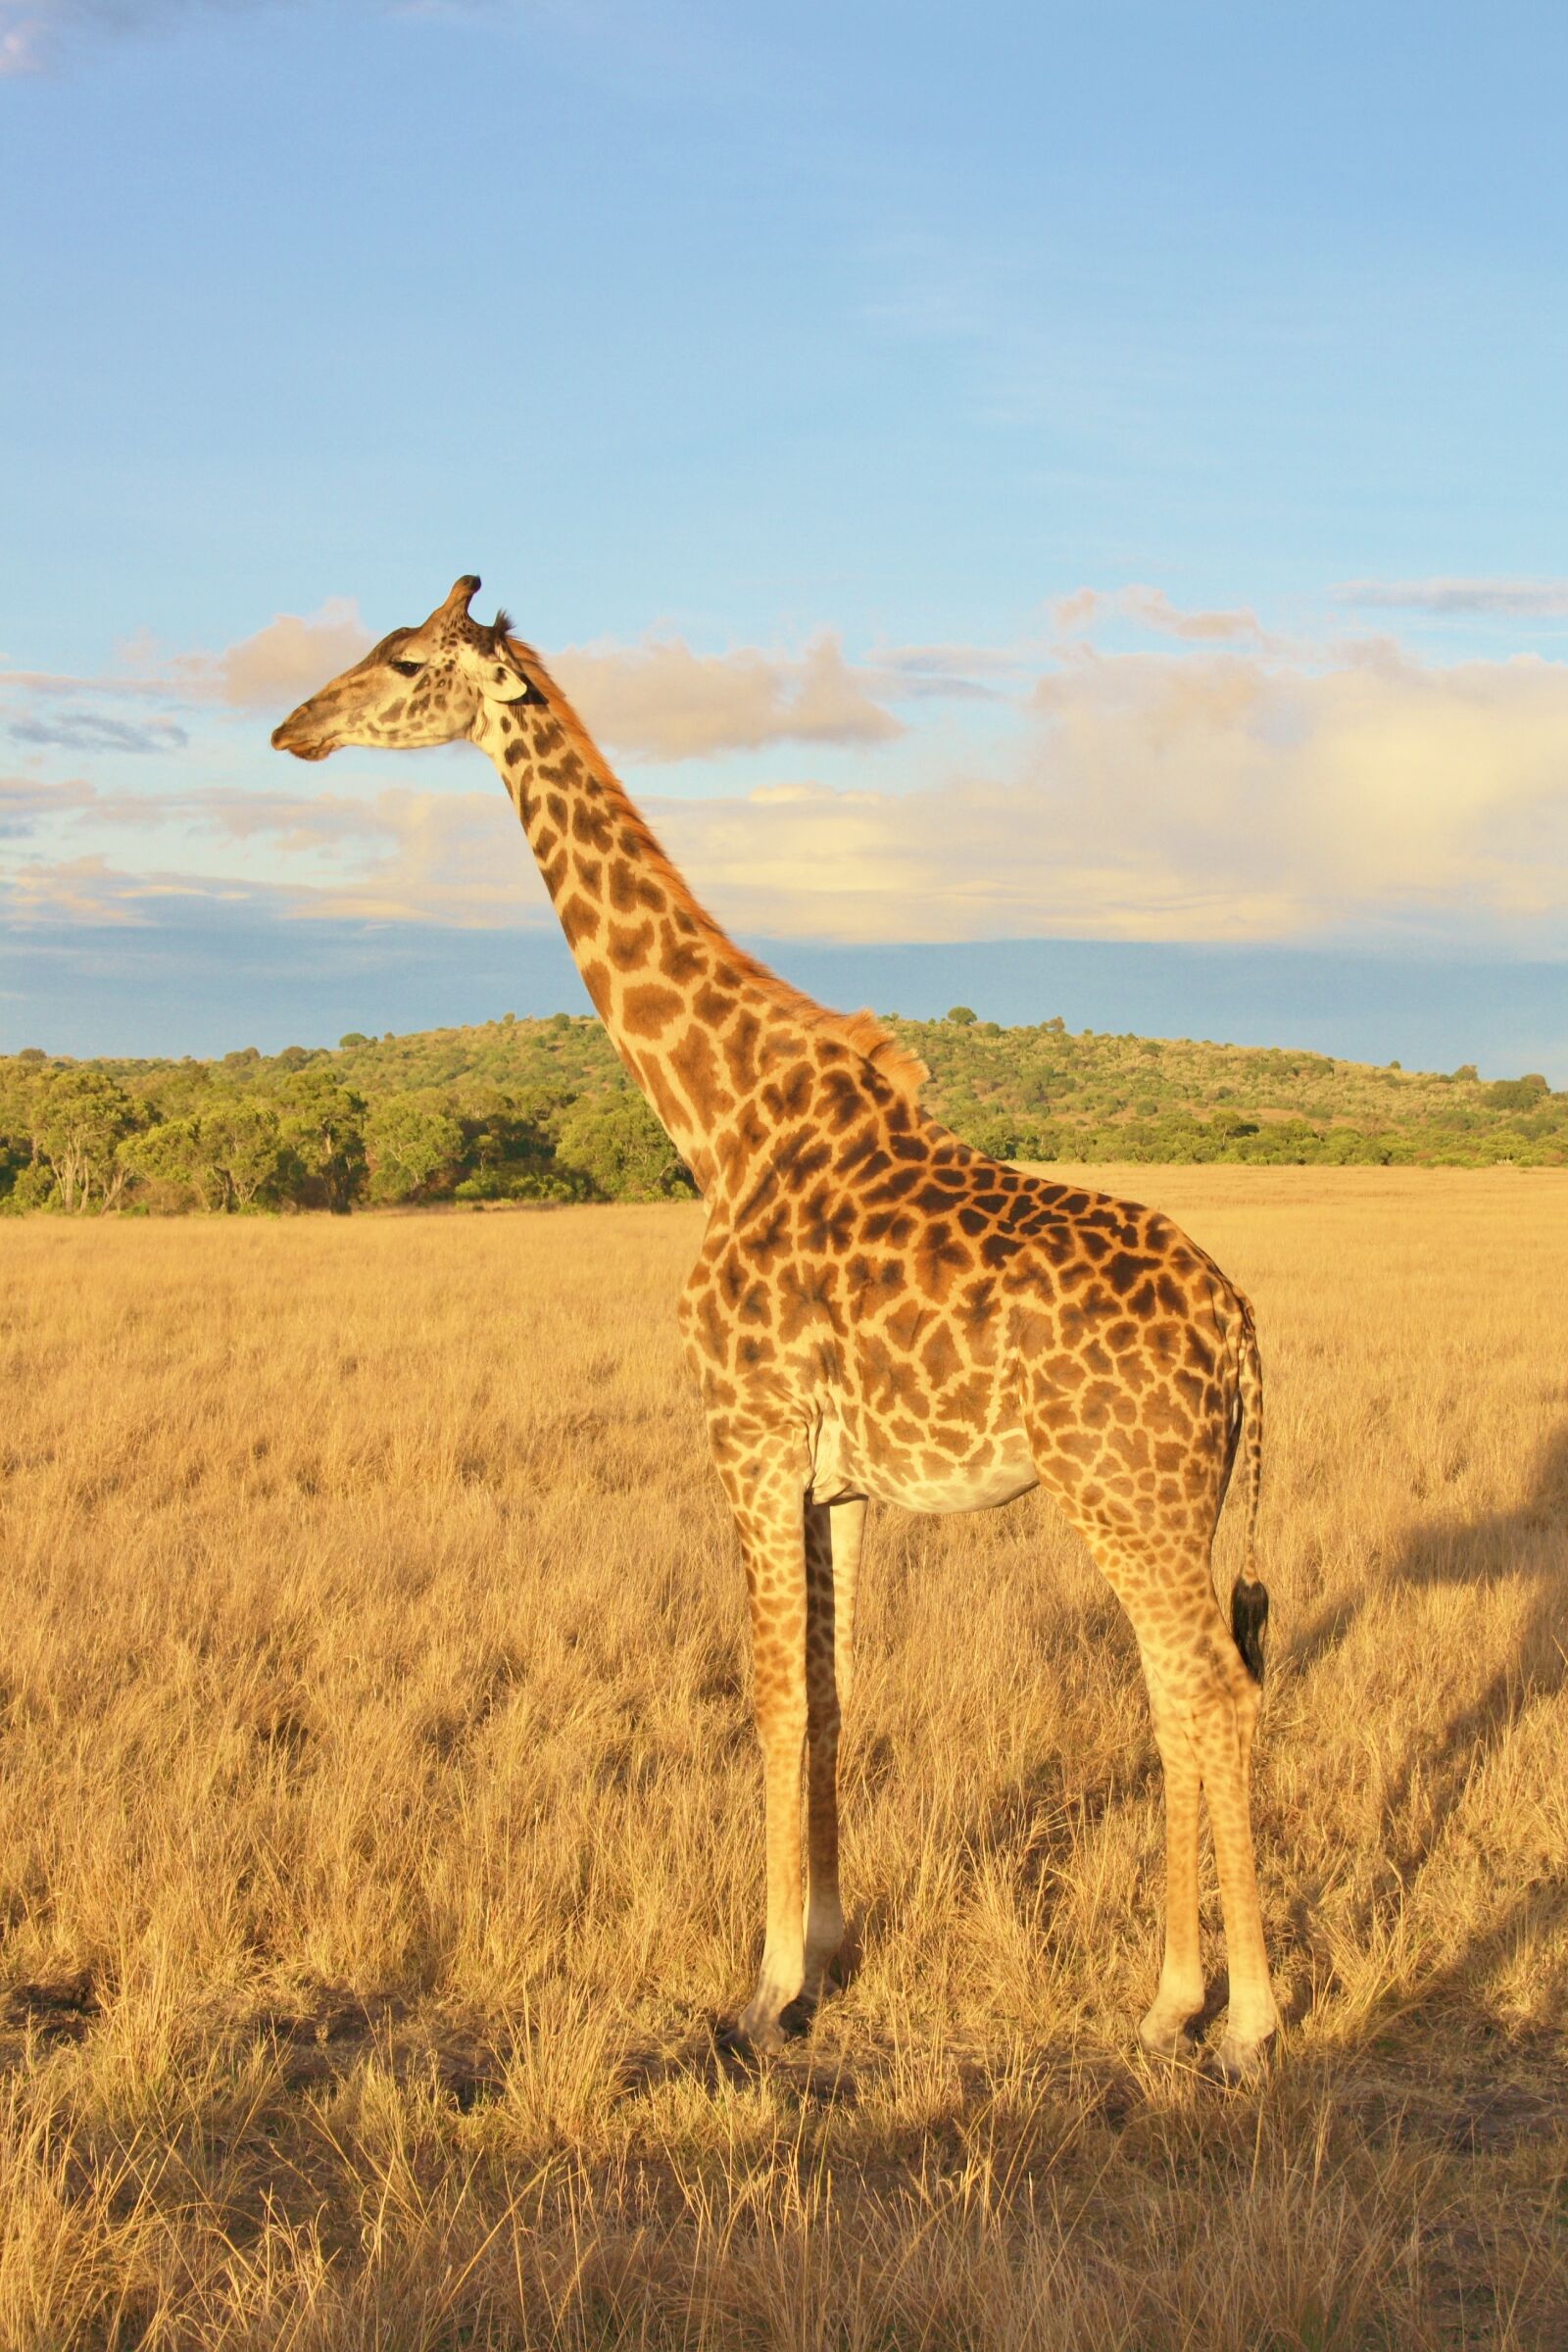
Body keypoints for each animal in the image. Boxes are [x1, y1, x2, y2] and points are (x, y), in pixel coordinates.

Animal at [273, 576, 1281, 2079]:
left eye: (401, 661)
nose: (293, 728)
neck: (720, 1120)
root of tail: (1239, 1324)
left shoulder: (742, 1436)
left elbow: (767, 1695)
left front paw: (758, 1992)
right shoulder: (837, 1482)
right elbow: (834, 1692)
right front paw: (829, 1950)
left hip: (1124, 1491)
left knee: (1212, 1688)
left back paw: (1247, 2020)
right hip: (1170, 1500)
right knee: (1179, 1690)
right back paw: (1169, 1999)